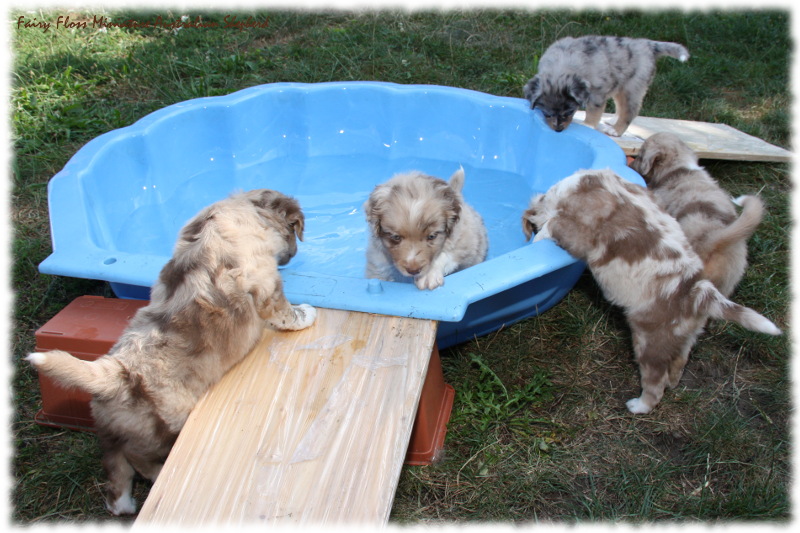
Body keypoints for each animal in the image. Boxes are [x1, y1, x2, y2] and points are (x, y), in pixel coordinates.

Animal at [28, 189, 316, 512]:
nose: (293, 255)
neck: (241, 211)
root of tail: (115, 375)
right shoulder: (266, 286)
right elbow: (286, 312)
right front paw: (307, 314)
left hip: (111, 431)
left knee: (116, 472)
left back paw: (124, 505)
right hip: (165, 426)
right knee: (137, 458)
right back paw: (155, 475)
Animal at [520, 168, 780, 414]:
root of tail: (698, 292)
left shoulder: (575, 229)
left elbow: (552, 225)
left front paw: (538, 237)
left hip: (650, 341)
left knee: (655, 383)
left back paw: (639, 406)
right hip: (685, 334)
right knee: (679, 361)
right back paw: (674, 384)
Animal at [524, 34, 688, 136]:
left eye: (570, 112)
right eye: (547, 114)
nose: (558, 130)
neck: (561, 66)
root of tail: (647, 44)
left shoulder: (597, 93)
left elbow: (594, 111)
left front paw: (588, 125)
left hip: (633, 87)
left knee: (630, 111)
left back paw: (616, 130)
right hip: (620, 86)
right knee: (620, 106)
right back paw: (612, 121)